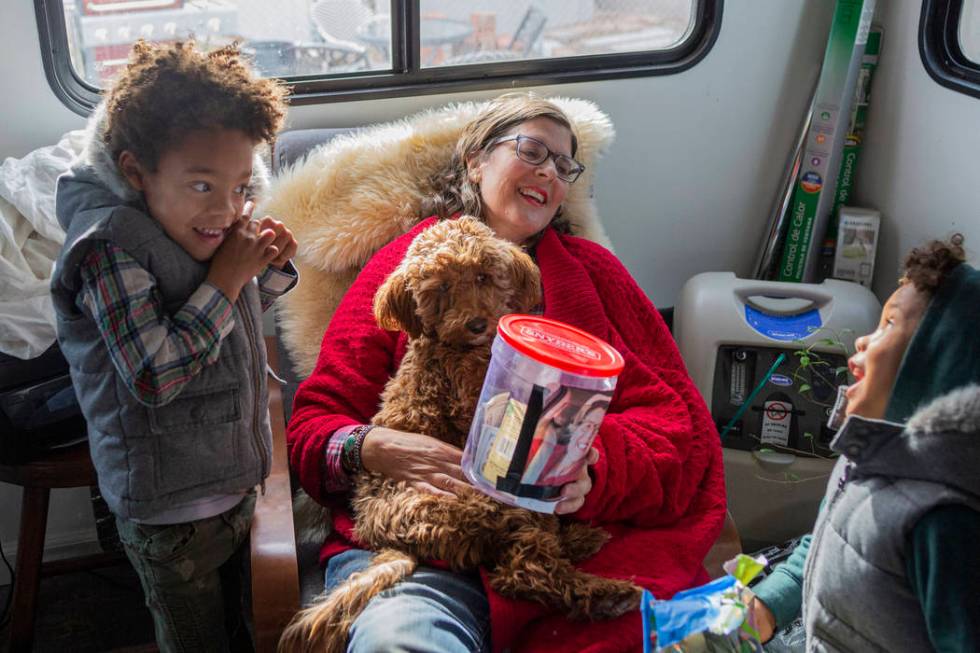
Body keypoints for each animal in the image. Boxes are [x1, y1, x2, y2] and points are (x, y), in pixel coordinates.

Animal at [276, 218, 644, 652]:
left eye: (483, 276)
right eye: (442, 287)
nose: (477, 324)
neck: (461, 348)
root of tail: (391, 540)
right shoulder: (471, 402)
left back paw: (580, 542)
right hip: (484, 501)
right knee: (522, 569)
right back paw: (606, 592)